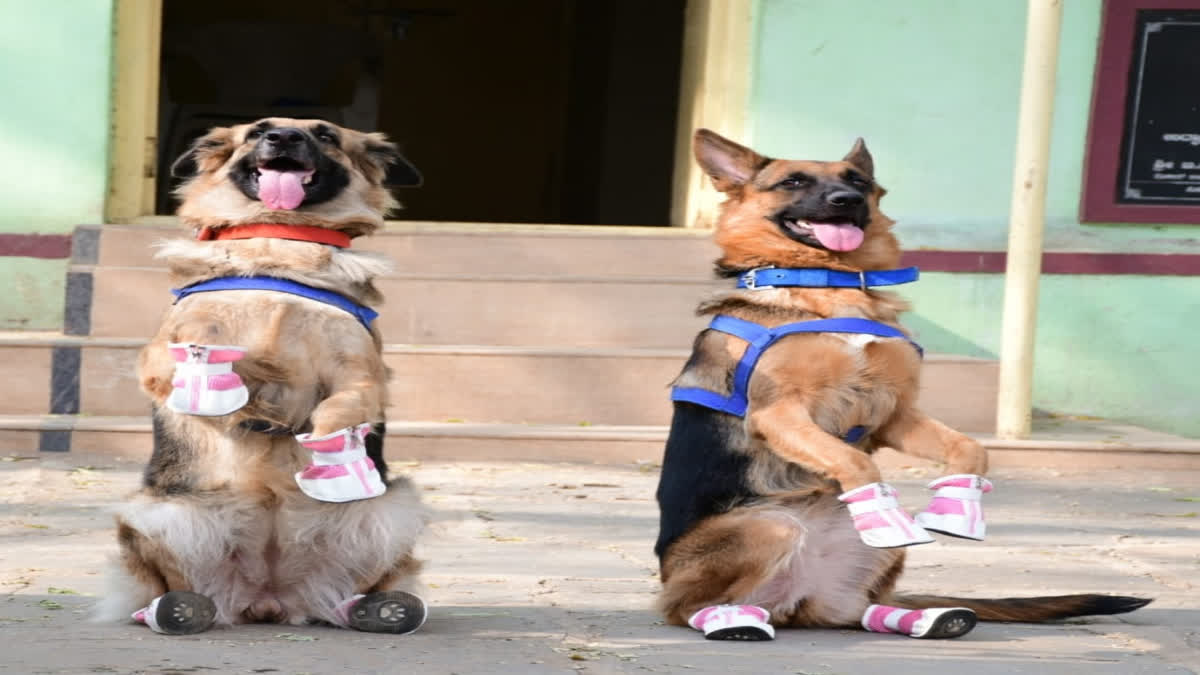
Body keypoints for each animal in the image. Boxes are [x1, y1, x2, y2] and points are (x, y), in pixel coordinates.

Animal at [96, 118, 429, 634]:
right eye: (257, 132)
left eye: (326, 135)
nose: (284, 138)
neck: (279, 239)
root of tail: (267, 597)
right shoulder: (160, 353)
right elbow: (199, 346)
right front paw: (219, 384)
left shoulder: (363, 376)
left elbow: (339, 409)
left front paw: (334, 453)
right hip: (155, 511)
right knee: (166, 586)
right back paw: (176, 610)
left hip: (396, 510)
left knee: (361, 590)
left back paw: (381, 609)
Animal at [657, 128, 1152, 638]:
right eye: (793, 181)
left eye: (858, 181)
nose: (848, 200)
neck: (830, 282)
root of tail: (789, 603)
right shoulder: (779, 413)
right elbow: (853, 460)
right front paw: (882, 512)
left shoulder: (894, 413)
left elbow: (971, 448)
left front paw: (958, 507)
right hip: (768, 528)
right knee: (685, 606)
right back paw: (732, 619)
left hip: (862, 573)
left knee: (862, 610)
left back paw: (928, 616)